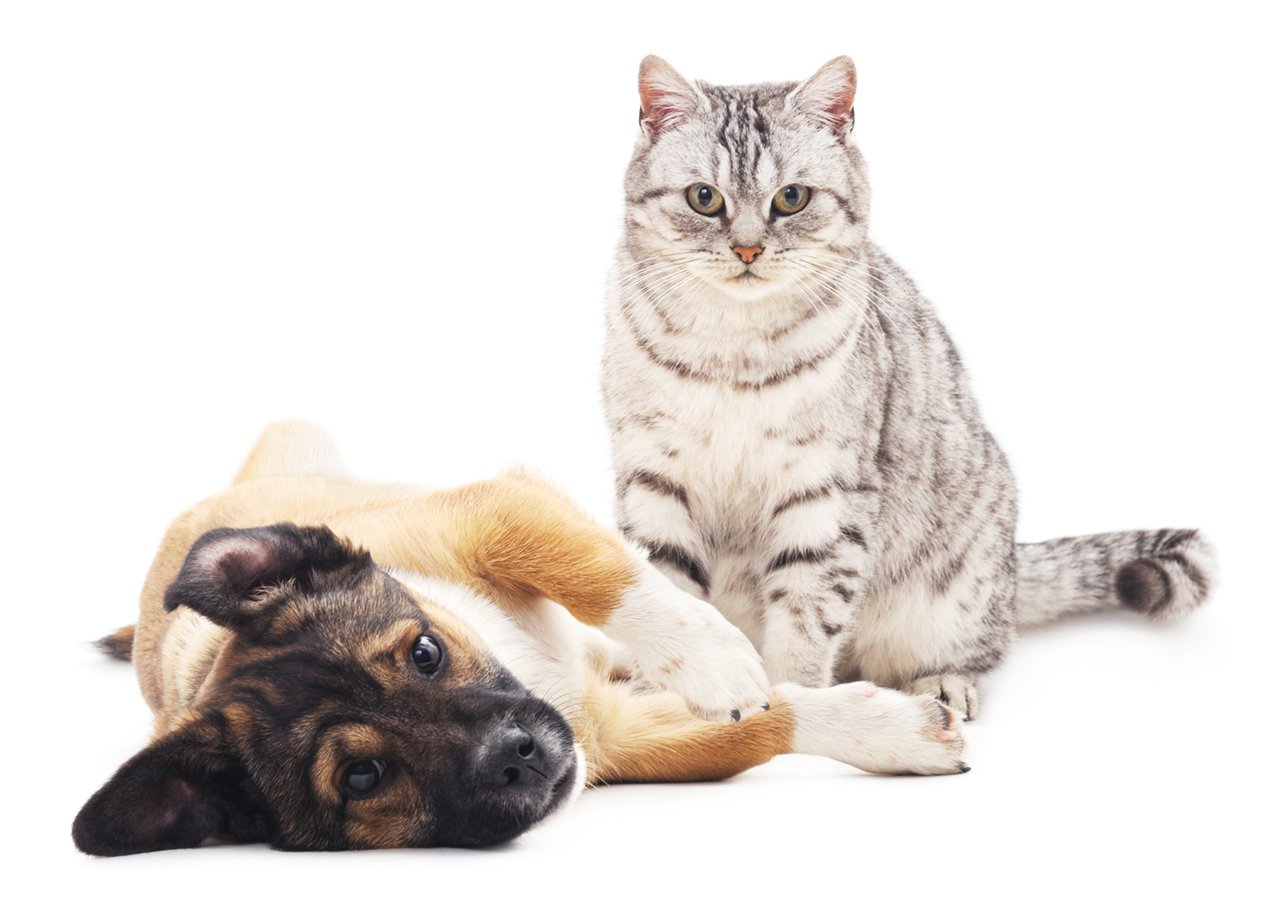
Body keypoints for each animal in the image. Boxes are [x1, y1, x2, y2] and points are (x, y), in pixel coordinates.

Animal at [72, 424, 967, 859]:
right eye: (363, 776)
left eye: (425, 653)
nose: (515, 755)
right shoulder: (618, 735)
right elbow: (765, 724)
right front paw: (890, 729)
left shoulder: (502, 514)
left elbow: (606, 575)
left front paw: (710, 654)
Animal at [604, 55, 1213, 721]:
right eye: (703, 197)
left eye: (791, 198)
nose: (747, 248)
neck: (731, 351)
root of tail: (1011, 564)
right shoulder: (655, 482)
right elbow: (669, 599)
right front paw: (662, 700)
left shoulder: (826, 496)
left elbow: (804, 623)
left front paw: (790, 711)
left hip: (958, 584)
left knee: (983, 644)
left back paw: (942, 682)